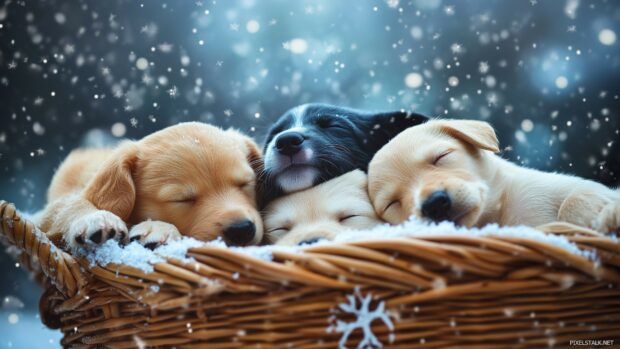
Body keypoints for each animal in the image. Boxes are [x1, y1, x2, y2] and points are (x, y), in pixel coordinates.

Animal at [36, 122, 264, 250]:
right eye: (182, 199)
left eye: (245, 183)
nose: (242, 229)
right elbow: (70, 205)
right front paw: (96, 219)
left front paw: (157, 228)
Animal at [368, 118, 620, 232]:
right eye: (392, 203)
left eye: (441, 157)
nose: (434, 204)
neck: (494, 216)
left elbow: (577, 197)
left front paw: (600, 213)